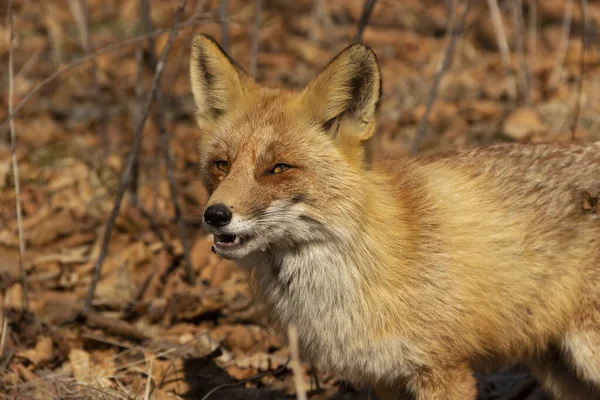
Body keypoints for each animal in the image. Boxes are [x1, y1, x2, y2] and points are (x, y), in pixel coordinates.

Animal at [190, 32, 600, 398]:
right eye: (221, 165)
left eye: (278, 168)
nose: (215, 215)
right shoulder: (385, 375)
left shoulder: (441, 368)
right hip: (561, 369)